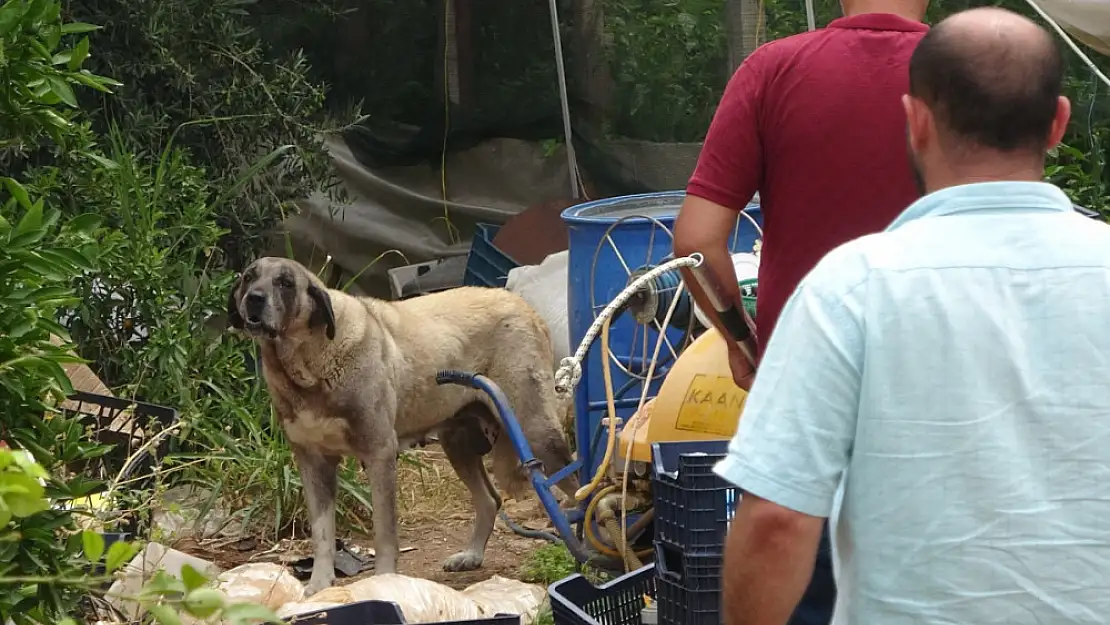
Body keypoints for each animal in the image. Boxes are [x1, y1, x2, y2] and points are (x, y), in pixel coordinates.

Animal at [227, 256, 581, 595]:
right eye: (248, 277)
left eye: (285, 283)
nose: (254, 299)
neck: (308, 365)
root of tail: (521, 303)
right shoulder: (313, 465)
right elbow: (323, 535)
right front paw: (319, 584)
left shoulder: (379, 455)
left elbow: (384, 533)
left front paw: (384, 582)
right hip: (457, 442)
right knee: (490, 499)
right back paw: (472, 555)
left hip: (535, 431)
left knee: (576, 487)